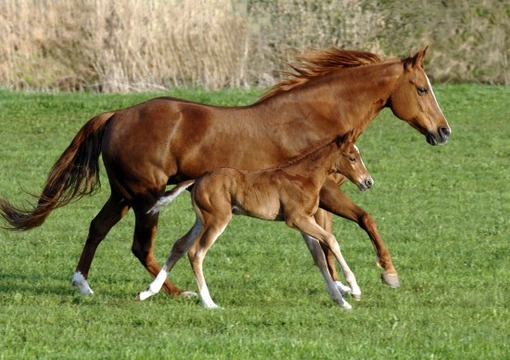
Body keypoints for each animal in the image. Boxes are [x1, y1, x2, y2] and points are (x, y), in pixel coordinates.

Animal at [137, 132, 372, 310]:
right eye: (352, 157)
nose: (368, 182)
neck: (304, 176)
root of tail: (198, 179)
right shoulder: (296, 219)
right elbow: (331, 240)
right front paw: (354, 290)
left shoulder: (305, 222)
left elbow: (319, 258)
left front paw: (341, 302)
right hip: (217, 220)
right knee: (196, 252)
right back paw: (209, 303)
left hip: (201, 220)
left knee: (180, 245)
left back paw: (148, 292)